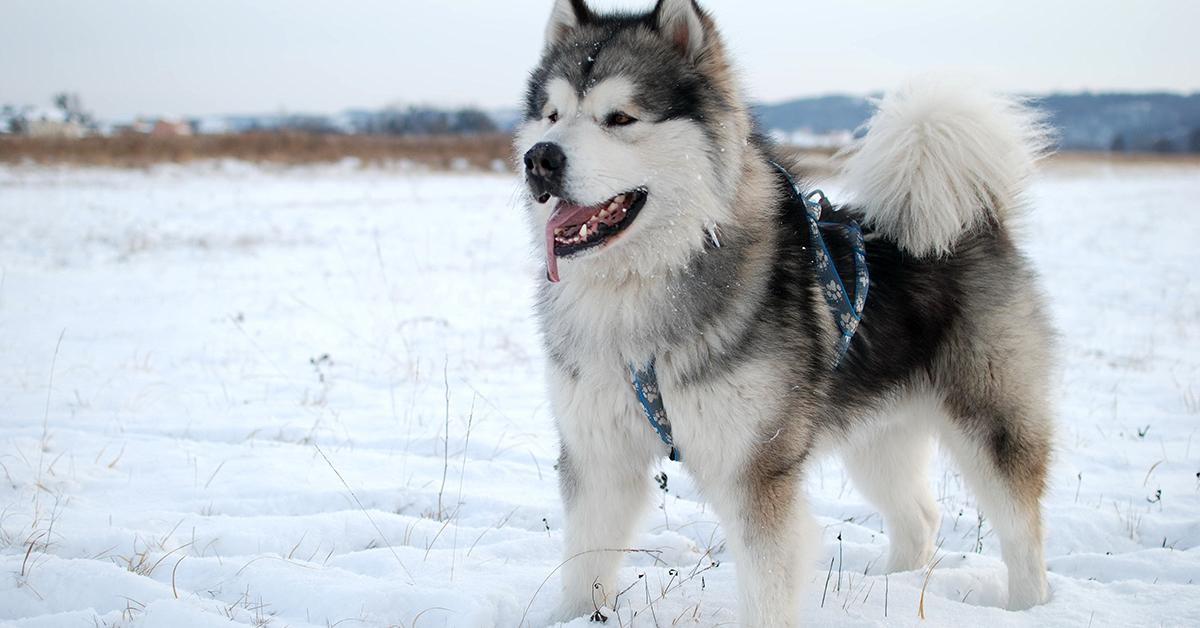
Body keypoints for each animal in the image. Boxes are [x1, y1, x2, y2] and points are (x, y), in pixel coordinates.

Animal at [513, 1, 1051, 624]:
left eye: (619, 118)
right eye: (552, 115)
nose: (540, 159)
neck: (641, 289)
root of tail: (975, 219)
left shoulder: (756, 470)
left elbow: (767, 585)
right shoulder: (597, 455)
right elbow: (584, 568)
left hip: (992, 419)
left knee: (1021, 528)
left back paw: (1029, 605)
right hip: (879, 434)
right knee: (919, 517)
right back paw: (888, 591)